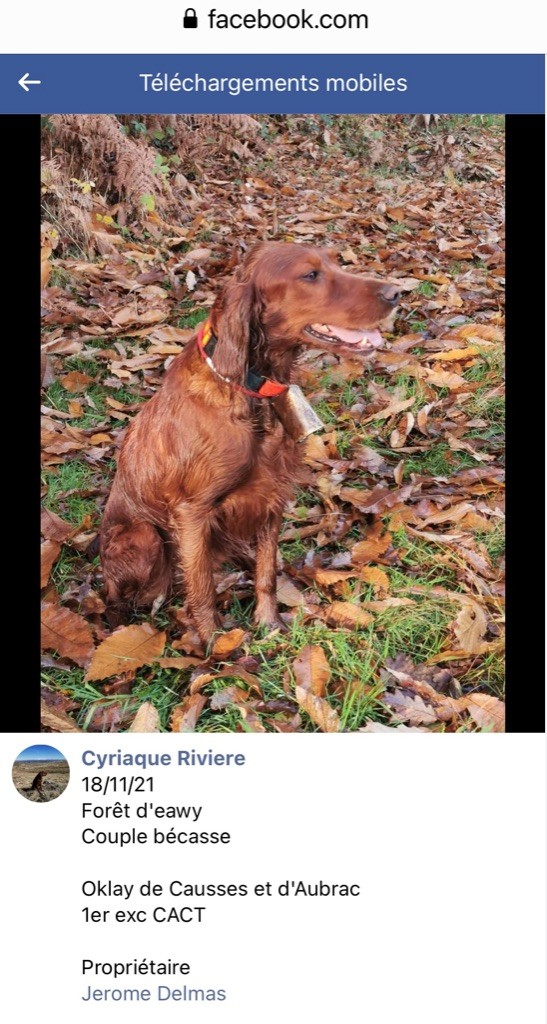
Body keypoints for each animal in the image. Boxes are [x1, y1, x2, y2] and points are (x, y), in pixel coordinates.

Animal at [100, 241, 401, 638]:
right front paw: (213, 645)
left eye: (336, 263)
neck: (250, 389)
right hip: (143, 535)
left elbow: (266, 571)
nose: (397, 293)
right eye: (311, 274)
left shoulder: (272, 495)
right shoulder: (192, 511)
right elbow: (202, 587)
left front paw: (269, 623)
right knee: (116, 597)